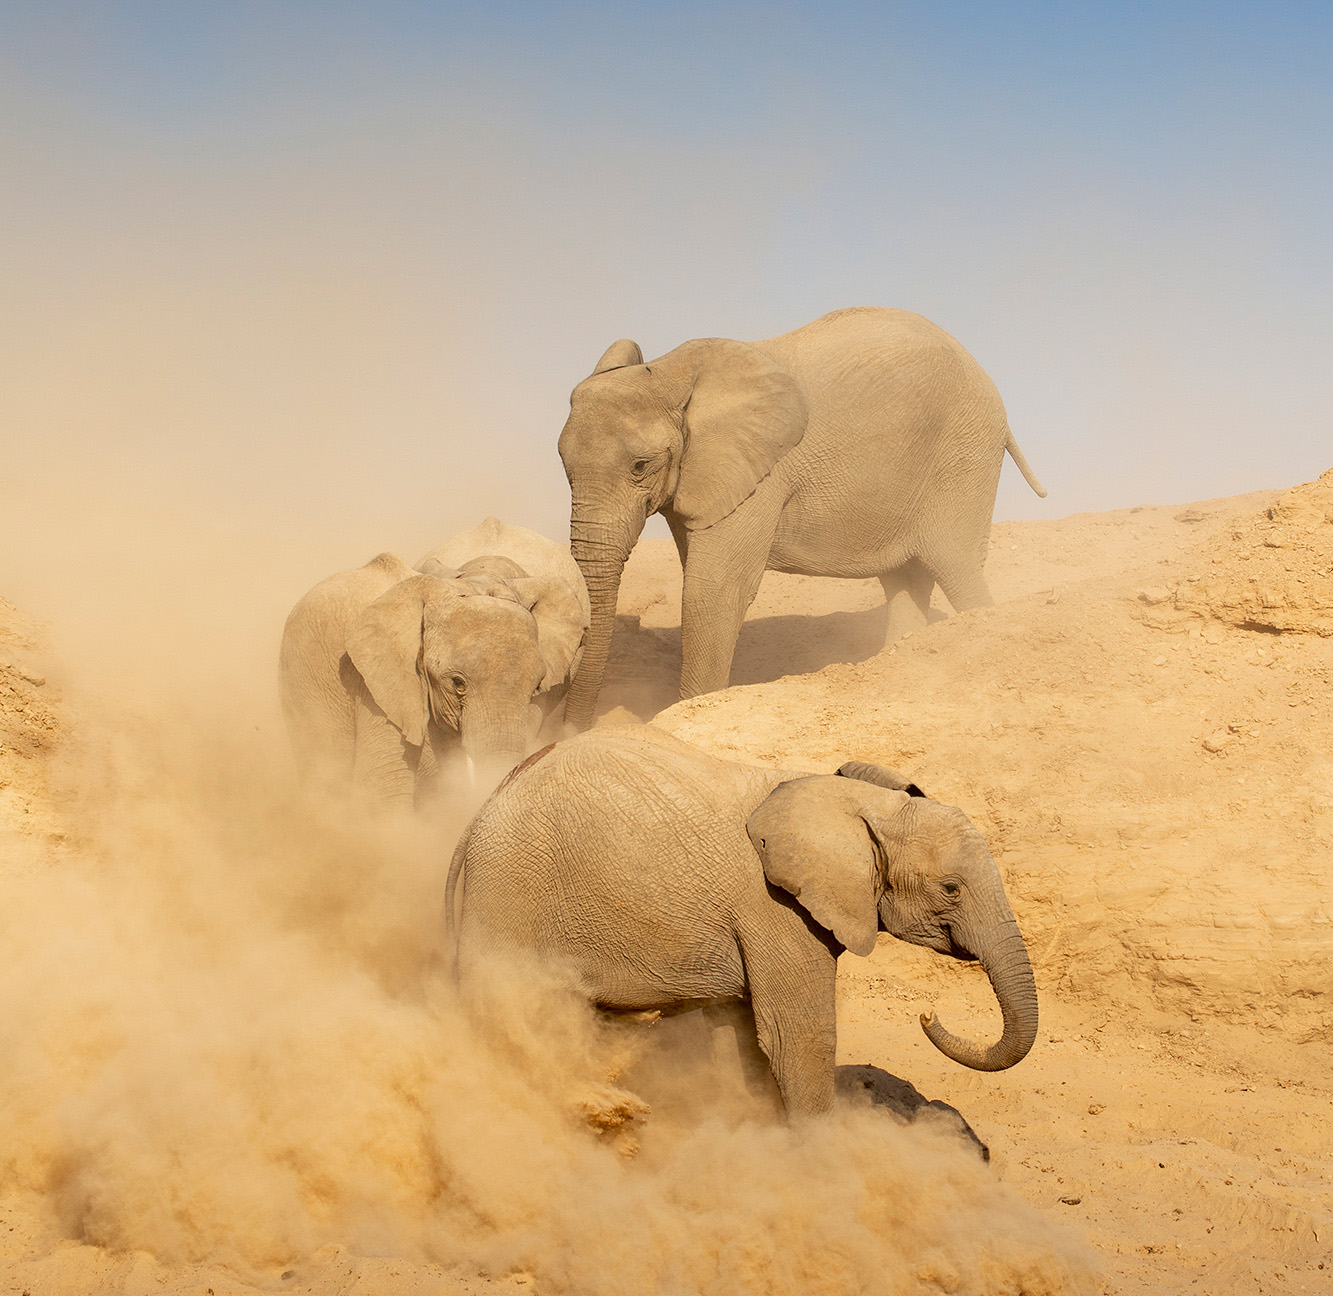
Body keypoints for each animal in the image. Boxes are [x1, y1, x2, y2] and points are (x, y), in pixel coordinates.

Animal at [447, 725, 1039, 1120]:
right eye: (951, 889)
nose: (927, 1014)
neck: (851, 800)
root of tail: (477, 817)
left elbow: (745, 1037)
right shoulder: (774, 908)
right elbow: (798, 1036)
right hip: (511, 894)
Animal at [557, 305, 1045, 730]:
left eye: (640, 466)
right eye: (563, 465)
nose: (566, 732)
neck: (670, 370)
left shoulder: (762, 471)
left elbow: (713, 590)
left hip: (965, 452)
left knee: (956, 566)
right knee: (906, 579)